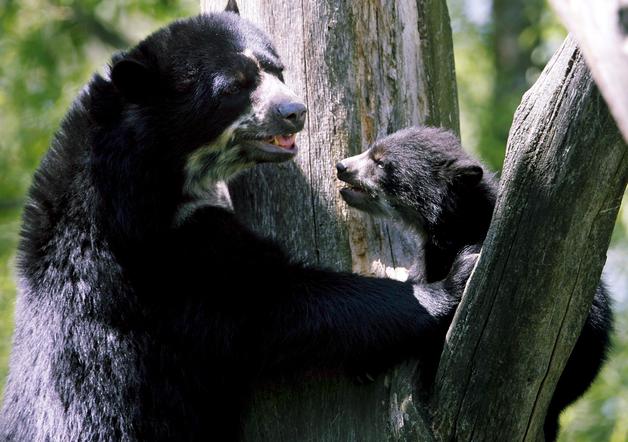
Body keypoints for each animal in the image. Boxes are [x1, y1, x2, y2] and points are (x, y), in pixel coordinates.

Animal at [0, 6, 476, 442]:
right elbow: (276, 302)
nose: (295, 111)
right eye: (233, 87)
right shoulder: (165, 261)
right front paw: (451, 281)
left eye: (277, 69)